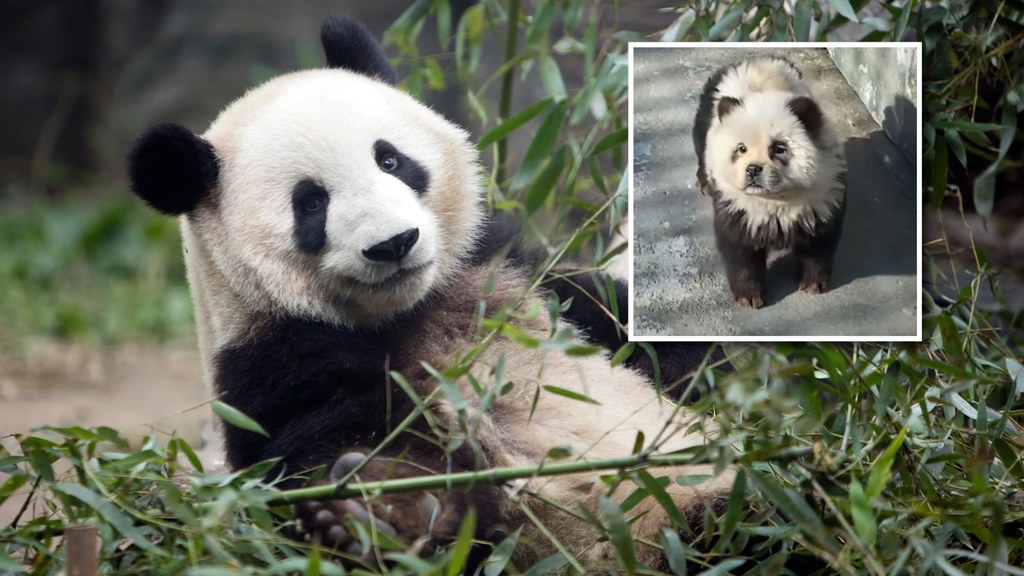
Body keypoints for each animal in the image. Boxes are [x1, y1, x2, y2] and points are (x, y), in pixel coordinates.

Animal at [128, 15, 733, 565]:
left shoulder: (508, 274)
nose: (394, 243)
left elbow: (640, 331)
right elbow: (345, 447)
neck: (405, 309)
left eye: (390, 159)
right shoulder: (276, 364)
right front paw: (375, 512)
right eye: (311, 203)